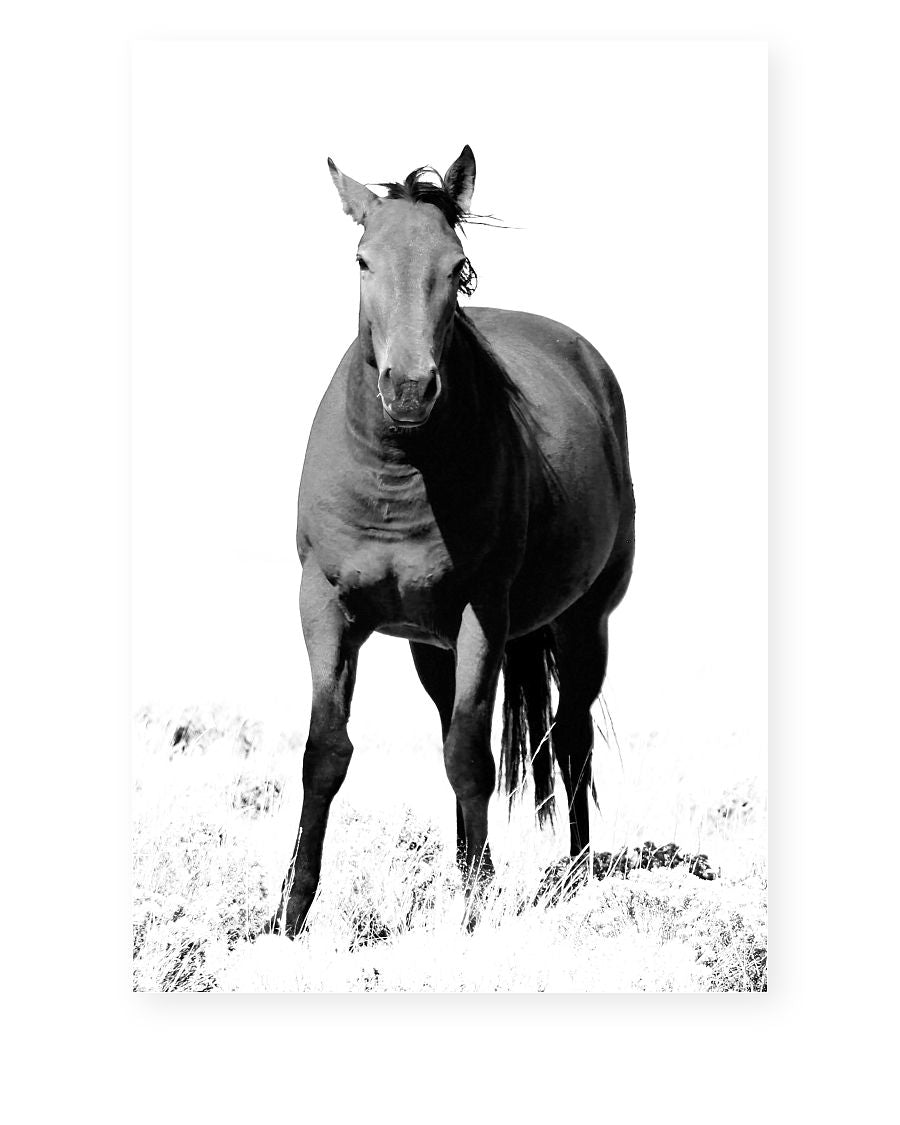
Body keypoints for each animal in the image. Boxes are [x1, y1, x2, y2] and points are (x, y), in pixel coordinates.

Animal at [270, 146, 635, 937]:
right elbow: (326, 752)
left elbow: (472, 756)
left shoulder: (482, 613)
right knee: (461, 731)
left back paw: (576, 875)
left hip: (584, 622)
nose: (409, 390)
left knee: (570, 741)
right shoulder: (325, 608)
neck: (401, 473)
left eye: (457, 265)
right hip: (430, 646)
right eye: (362, 259)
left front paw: (473, 908)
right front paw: (288, 911)